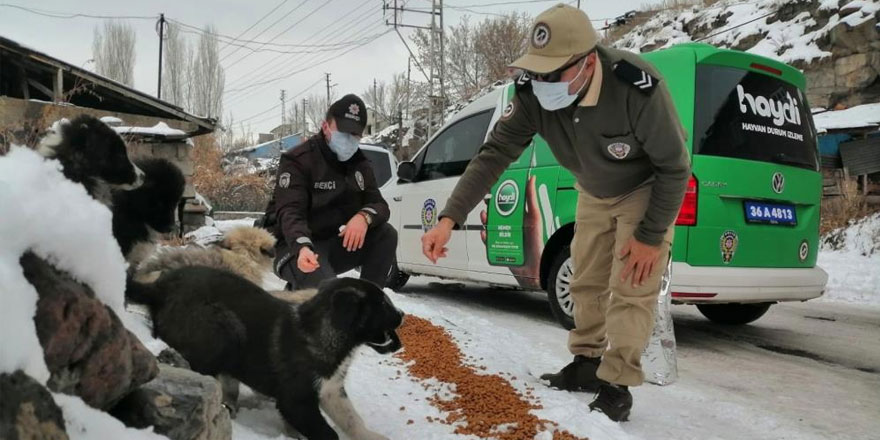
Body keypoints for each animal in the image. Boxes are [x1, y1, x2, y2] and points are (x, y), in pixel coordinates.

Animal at [126, 268, 402, 440]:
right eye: (383, 305)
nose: (402, 315)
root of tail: (159, 287)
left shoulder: (331, 389)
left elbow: (351, 418)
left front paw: (370, 436)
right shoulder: (296, 400)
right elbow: (327, 432)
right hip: (222, 329)